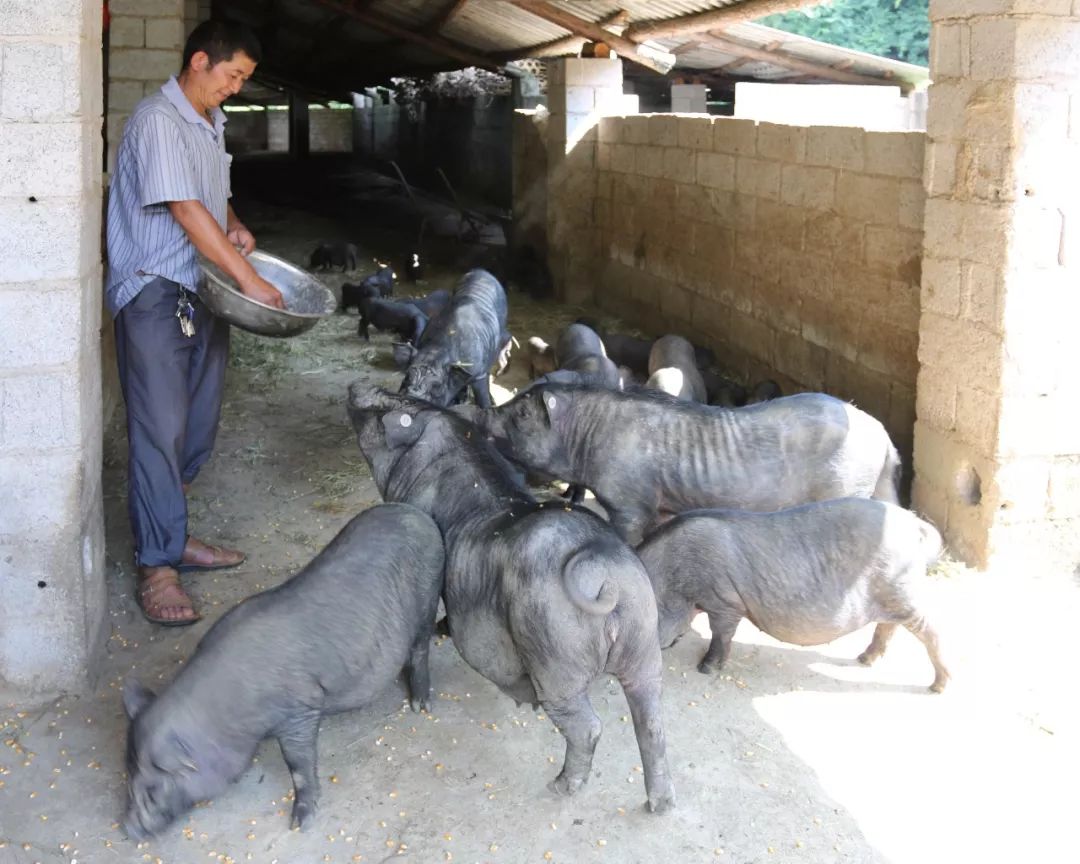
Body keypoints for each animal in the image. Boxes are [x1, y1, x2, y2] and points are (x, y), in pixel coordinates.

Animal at [123, 505, 447, 838]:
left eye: (153, 791)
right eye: (128, 781)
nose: (128, 829)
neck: (228, 714)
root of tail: (415, 513)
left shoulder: (300, 709)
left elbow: (297, 763)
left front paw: (299, 823)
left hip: (429, 592)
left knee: (420, 648)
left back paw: (420, 706)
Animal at [347, 388, 673, 812]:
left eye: (386, 409)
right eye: (401, 395)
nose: (358, 386)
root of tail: (604, 569)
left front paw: (437, 632)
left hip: (555, 648)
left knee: (586, 726)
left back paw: (561, 787)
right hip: (643, 638)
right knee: (651, 719)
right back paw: (660, 804)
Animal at [397, 267, 509, 406]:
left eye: (437, 385)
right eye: (407, 375)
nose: (412, 396)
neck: (439, 347)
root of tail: (482, 271)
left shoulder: (478, 373)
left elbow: (482, 396)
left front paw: (488, 405)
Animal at [481, 386, 902, 544]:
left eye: (522, 413)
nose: (486, 411)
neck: (587, 436)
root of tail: (883, 435)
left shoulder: (630, 501)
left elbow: (629, 535)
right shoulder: (661, 505)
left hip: (845, 482)